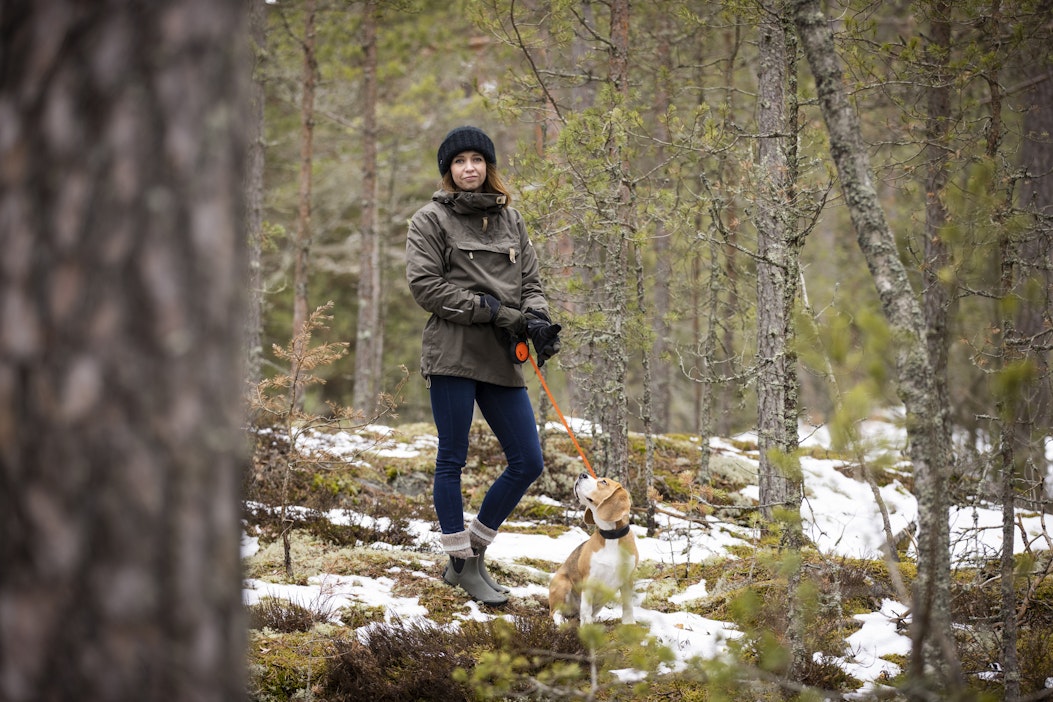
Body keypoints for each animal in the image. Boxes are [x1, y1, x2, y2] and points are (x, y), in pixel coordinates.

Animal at [551, 475, 640, 623]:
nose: (582, 474)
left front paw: (629, 624)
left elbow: (628, 606)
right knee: (554, 612)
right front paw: (587, 627)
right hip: (563, 585)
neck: (611, 536)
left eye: (603, 482)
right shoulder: (589, 580)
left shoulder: (627, 580)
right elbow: (586, 609)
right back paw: (561, 621)